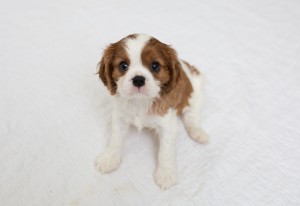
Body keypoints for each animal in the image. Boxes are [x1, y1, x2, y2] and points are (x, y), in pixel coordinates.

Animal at [95, 33, 207, 190]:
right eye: (123, 65)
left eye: (155, 66)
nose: (138, 79)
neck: (140, 101)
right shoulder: (120, 118)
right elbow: (115, 139)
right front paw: (110, 159)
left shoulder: (168, 126)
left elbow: (165, 151)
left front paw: (166, 174)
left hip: (196, 92)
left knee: (192, 114)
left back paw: (197, 132)